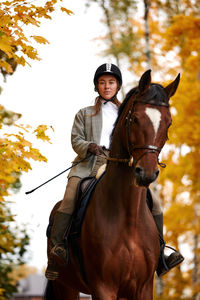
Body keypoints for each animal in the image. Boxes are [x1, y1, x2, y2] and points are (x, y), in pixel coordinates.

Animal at [44, 71, 180, 300]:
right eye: (135, 119)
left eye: (168, 123)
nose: (147, 173)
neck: (129, 218)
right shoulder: (103, 287)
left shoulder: (143, 288)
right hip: (64, 286)